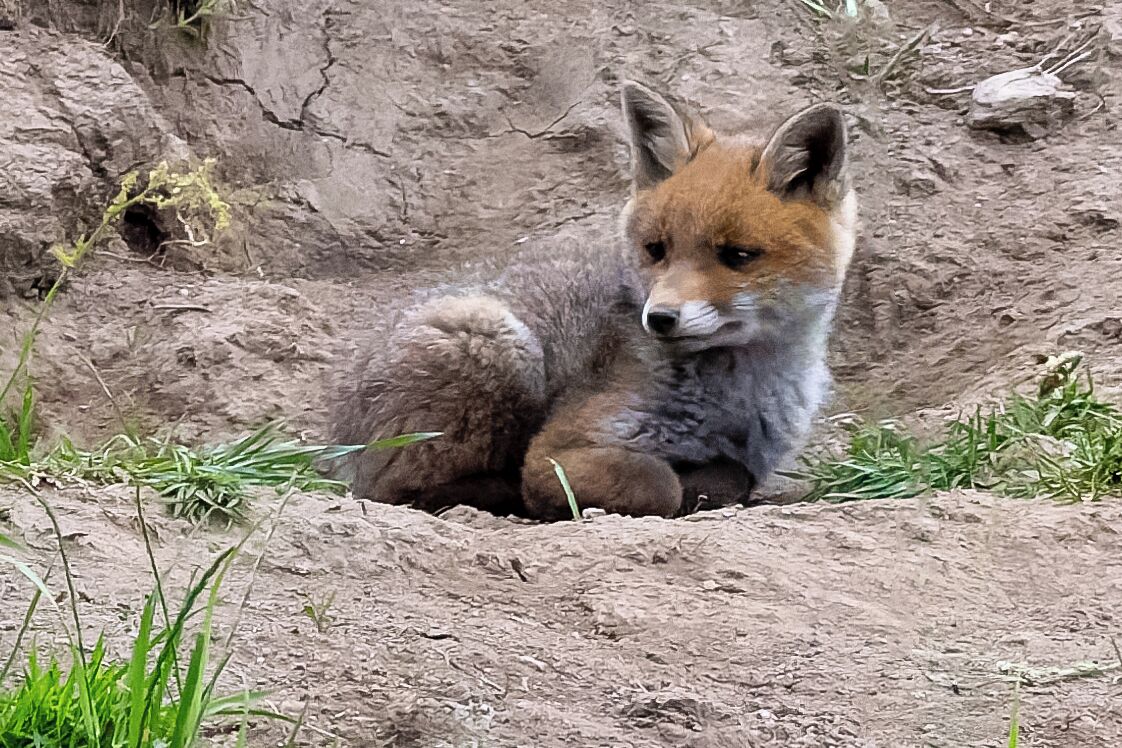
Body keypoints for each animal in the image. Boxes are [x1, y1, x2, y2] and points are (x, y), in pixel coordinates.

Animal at [330, 80, 858, 520]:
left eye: (738, 256)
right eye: (656, 249)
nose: (659, 318)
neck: (737, 400)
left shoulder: (749, 457)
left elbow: (735, 475)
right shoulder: (559, 448)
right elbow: (658, 483)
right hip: (491, 340)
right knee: (399, 490)